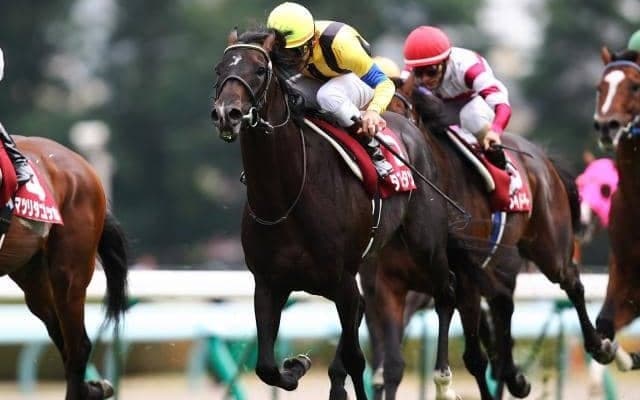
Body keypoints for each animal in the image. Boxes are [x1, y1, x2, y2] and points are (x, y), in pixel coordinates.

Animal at [1, 135, 128, 400]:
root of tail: (84, 166)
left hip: (70, 273)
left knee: (78, 346)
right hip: (32, 276)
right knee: (63, 338)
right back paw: (93, 388)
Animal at [211, 28, 459, 400]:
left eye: (259, 70)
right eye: (219, 69)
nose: (228, 113)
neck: (286, 199)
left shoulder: (343, 280)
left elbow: (357, 360)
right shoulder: (268, 283)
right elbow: (266, 366)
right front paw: (296, 365)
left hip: (425, 245)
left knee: (446, 292)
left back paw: (444, 381)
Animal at [362, 74, 618, 399]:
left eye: (401, 112)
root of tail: (540, 155)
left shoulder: (464, 278)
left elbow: (474, 357)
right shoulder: (387, 284)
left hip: (548, 246)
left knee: (570, 281)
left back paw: (599, 346)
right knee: (503, 307)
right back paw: (515, 375)